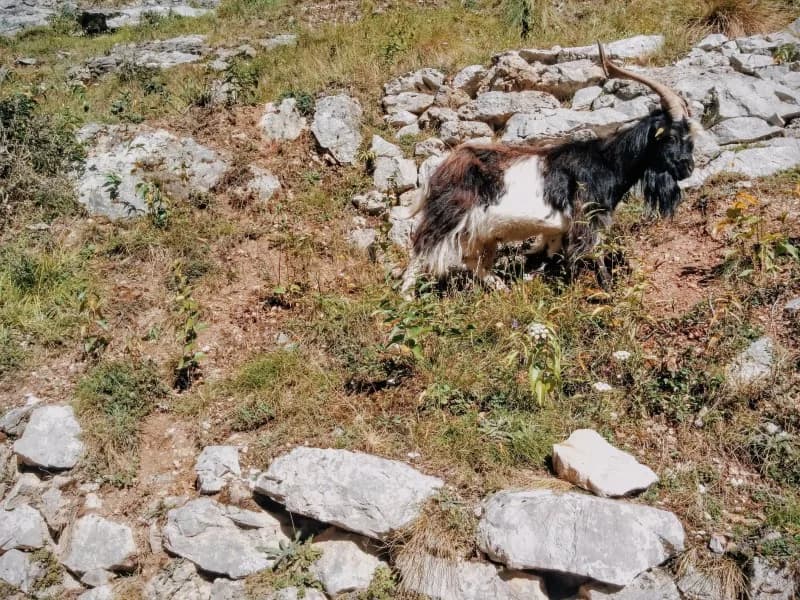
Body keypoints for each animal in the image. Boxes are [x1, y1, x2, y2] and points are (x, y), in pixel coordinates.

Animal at [401, 43, 697, 296]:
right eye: (671, 136)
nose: (688, 168)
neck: (605, 163)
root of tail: (439, 172)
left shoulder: (557, 230)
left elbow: (553, 256)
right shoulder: (585, 218)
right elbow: (593, 253)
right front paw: (605, 290)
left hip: (481, 233)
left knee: (472, 261)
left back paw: (500, 287)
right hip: (447, 218)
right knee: (420, 253)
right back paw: (405, 298)